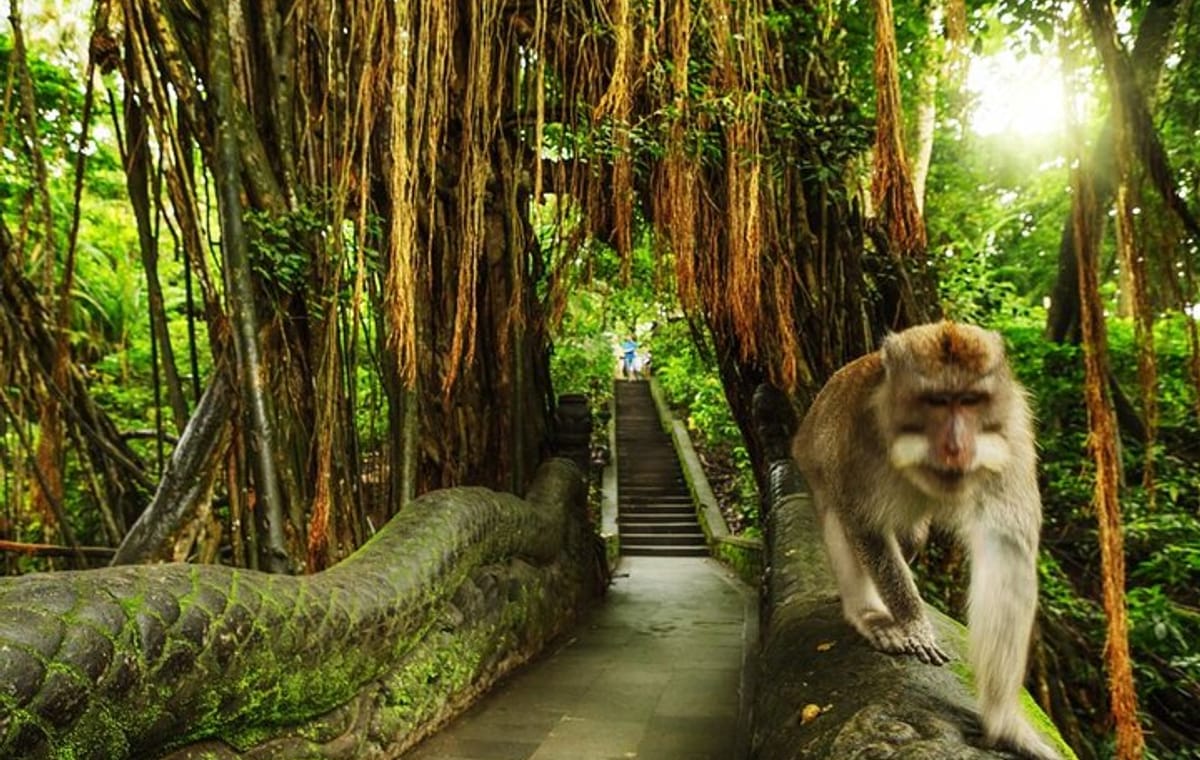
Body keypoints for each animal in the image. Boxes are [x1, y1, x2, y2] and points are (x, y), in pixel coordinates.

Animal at [791, 321, 1060, 760]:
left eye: (970, 401)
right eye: (935, 401)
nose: (956, 446)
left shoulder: (1012, 437)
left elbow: (1006, 549)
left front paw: (1004, 724)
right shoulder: (858, 439)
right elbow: (864, 524)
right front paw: (914, 623)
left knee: (912, 537)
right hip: (813, 465)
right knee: (838, 518)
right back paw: (869, 613)